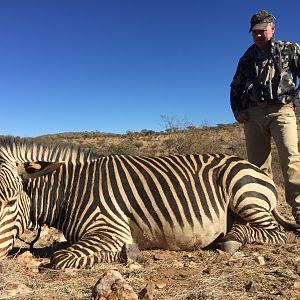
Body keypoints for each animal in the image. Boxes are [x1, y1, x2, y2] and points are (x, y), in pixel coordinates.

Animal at [0, 137, 298, 268]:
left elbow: (60, 257)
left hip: (243, 193)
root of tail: (255, 168)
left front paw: (130, 253)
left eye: (11, 201)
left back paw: (233, 239)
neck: (72, 191)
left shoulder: (111, 229)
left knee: (276, 234)